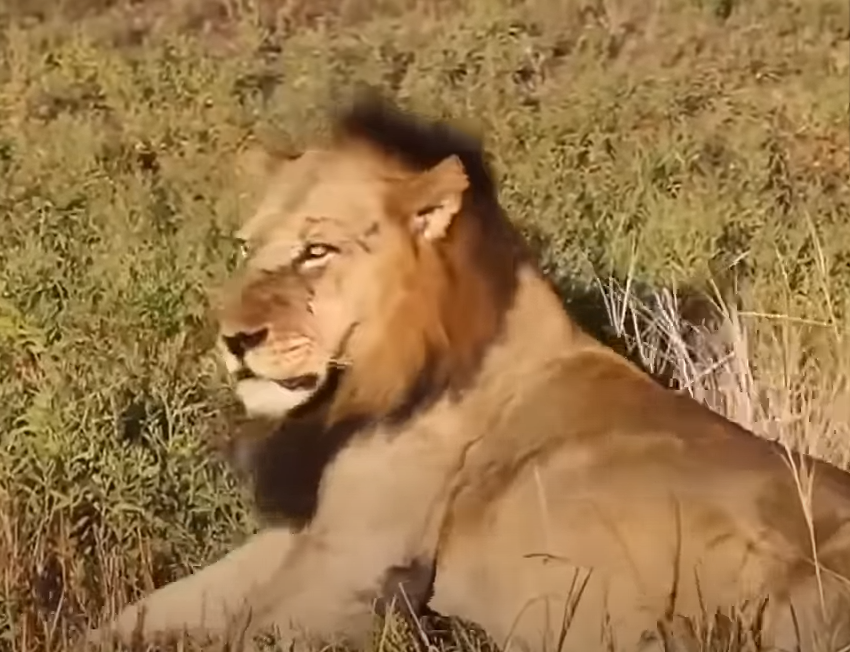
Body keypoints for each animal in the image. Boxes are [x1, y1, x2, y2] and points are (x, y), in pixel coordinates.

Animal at [91, 95, 850, 652]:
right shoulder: (307, 534)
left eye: (317, 251)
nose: (233, 339)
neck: (364, 391)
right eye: (248, 248)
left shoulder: (342, 575)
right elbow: (149, 608)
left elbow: (236, 631)